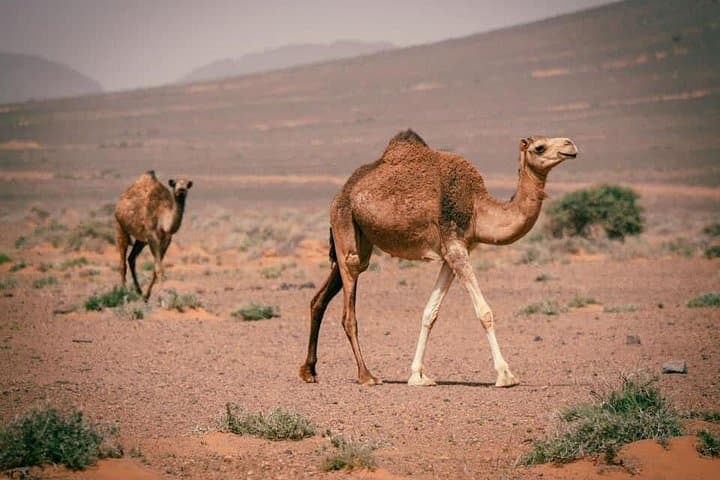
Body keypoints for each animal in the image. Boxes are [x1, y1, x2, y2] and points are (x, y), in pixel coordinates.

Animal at [114, 170, 193, 300]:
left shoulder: (166, 239)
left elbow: (156, 269)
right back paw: (124, 293)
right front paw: (162, 298)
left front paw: (147, 296)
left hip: (141, 240)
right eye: (174, 184)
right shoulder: (152, 237)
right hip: (120, 227)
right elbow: (159, 269)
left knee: (131, 258)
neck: (163, 220)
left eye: (186, 185)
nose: (181, 190)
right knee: (122, 262)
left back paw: (140, 292)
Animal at [299, 129, 578, 387]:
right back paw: (366, 375)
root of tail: (340, 194)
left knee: (320, 297)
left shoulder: (451, 253)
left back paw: (309, 371)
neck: (476, 208)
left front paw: (417, 376)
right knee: (349, 310)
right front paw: (505, 375)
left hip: (361, 239)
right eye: (540, 147)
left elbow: (429, 313)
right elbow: (484, 311)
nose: (571, 145)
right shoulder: (455, 247)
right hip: (345, 224)